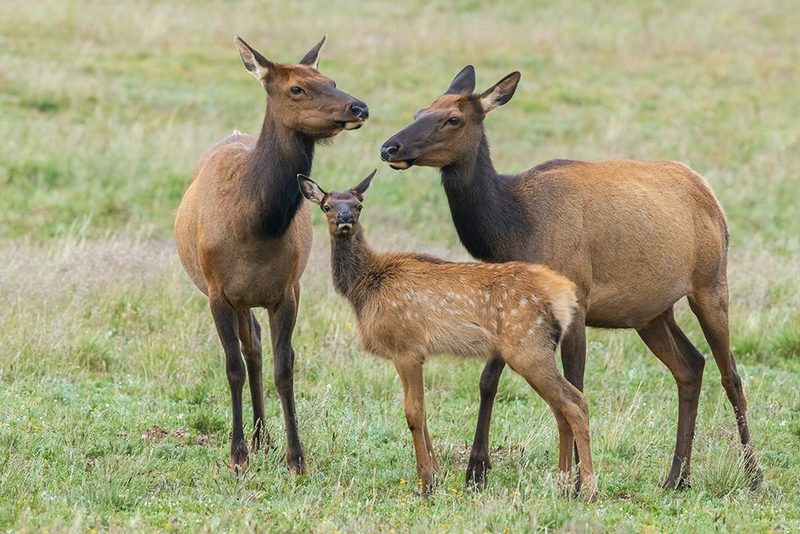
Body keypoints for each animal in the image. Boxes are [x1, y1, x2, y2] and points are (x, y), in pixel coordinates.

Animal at [174, 36, 369, 474]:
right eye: (296, 88)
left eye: (331, 80)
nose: (359, 107)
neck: (254, 228)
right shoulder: (217, 292)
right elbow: (231, 367)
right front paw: (236, 454)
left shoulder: (288, 291)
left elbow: (285, 368)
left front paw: (296, 458)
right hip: (232, 295)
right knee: (250, 350)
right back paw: (255, 439)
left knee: (258, 347)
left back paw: (264, 436)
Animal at [297, 170, 597, 499]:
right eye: (326, 206)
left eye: (358, 204)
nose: (345, 218)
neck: (364, 289)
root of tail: (564, 295)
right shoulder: (408, 353)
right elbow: (423, 412)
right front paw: (436, 475)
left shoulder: (407, 346)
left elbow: (413, 413)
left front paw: (425, 482)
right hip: (536, 349)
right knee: (561, 409)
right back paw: (563, 483)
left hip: (528, 346)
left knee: (576, 403)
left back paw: (588, 489)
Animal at [379, 65, 761, 492]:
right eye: (419, 111)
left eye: (453, 119)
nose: (389, 148)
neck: (513, 228)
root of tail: (709, 192)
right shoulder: (509, 305)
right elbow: (488, 380)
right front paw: (477, 470)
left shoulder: (577, 297)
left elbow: (575, 382)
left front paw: (578, 480)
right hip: (651, 312)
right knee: (691, 366)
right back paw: (677, 476)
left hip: (711, 283)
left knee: (731, 376)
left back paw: (753, 476)